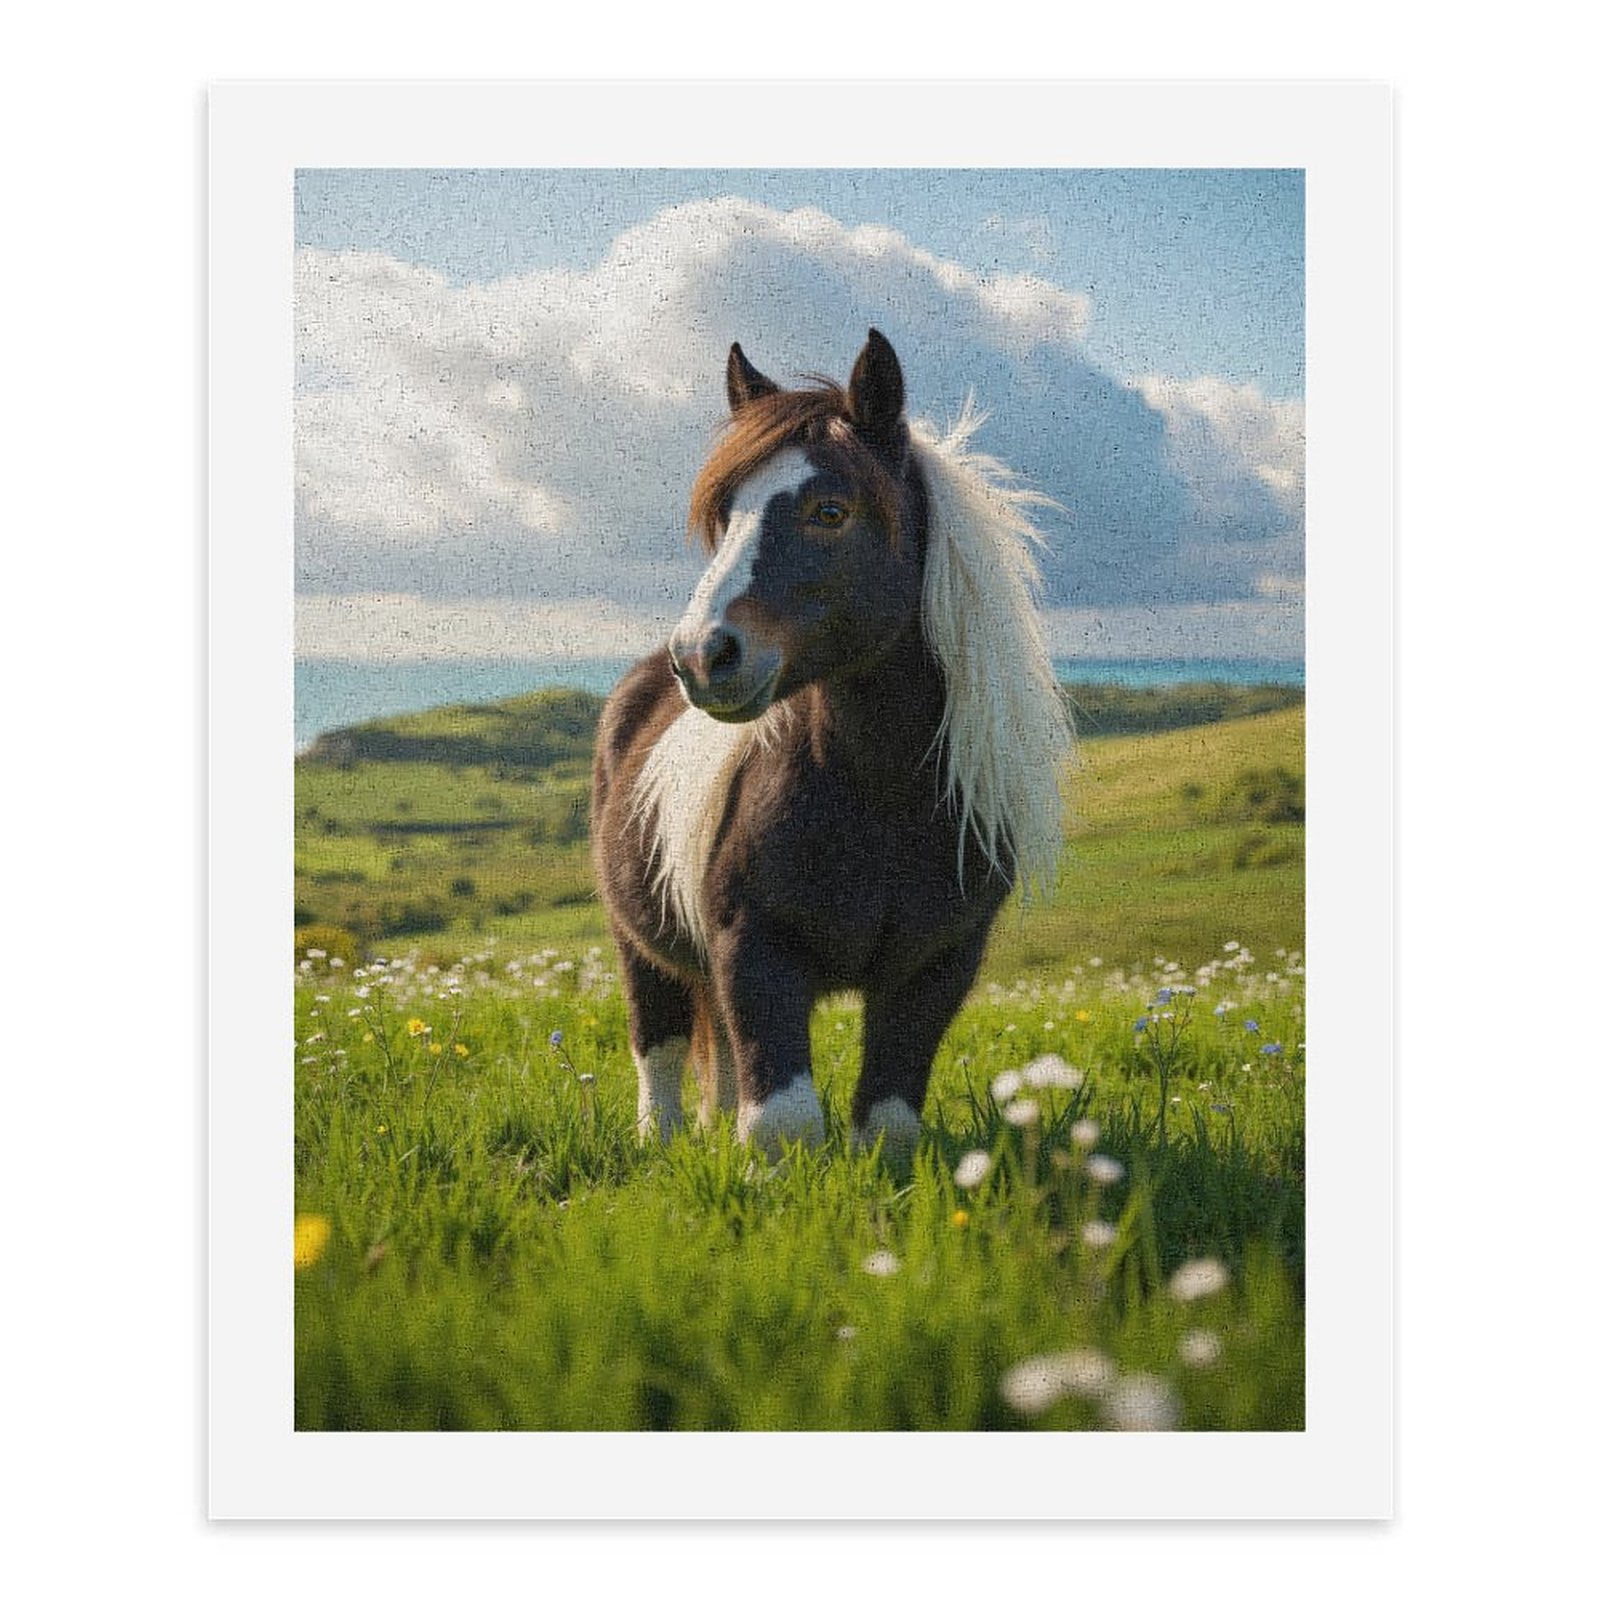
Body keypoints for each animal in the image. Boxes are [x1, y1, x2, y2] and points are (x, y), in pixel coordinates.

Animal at [590, 329, 1073, 1154]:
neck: (881, 796)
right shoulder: (756, 950)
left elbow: (886, 1123)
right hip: (639, 945)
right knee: (659, 1046)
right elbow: (781, 1122)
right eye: (726, 513)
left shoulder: (936, 968)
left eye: (830, 510)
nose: (702, 656)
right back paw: (661, 1139)